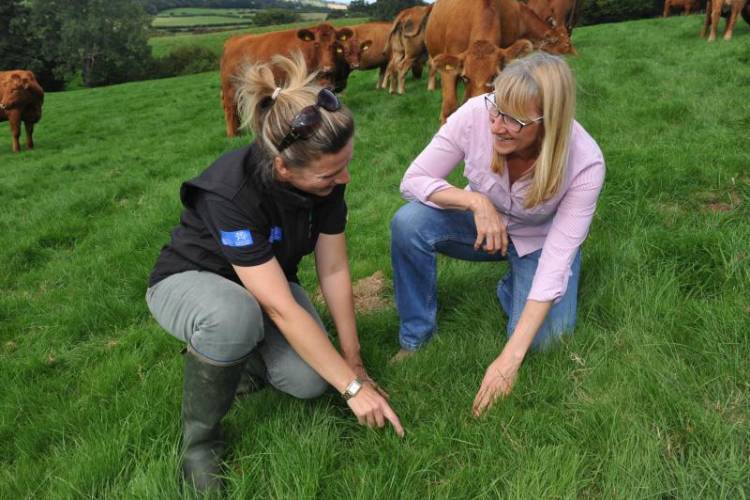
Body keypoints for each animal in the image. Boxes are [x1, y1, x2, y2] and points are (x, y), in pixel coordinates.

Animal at [220, 23, 356, 137]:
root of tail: (233, 40)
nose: (327, 68)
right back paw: (233, 135)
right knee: (230, 109)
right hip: (230, 88)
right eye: (316, 44)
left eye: (334, 44)